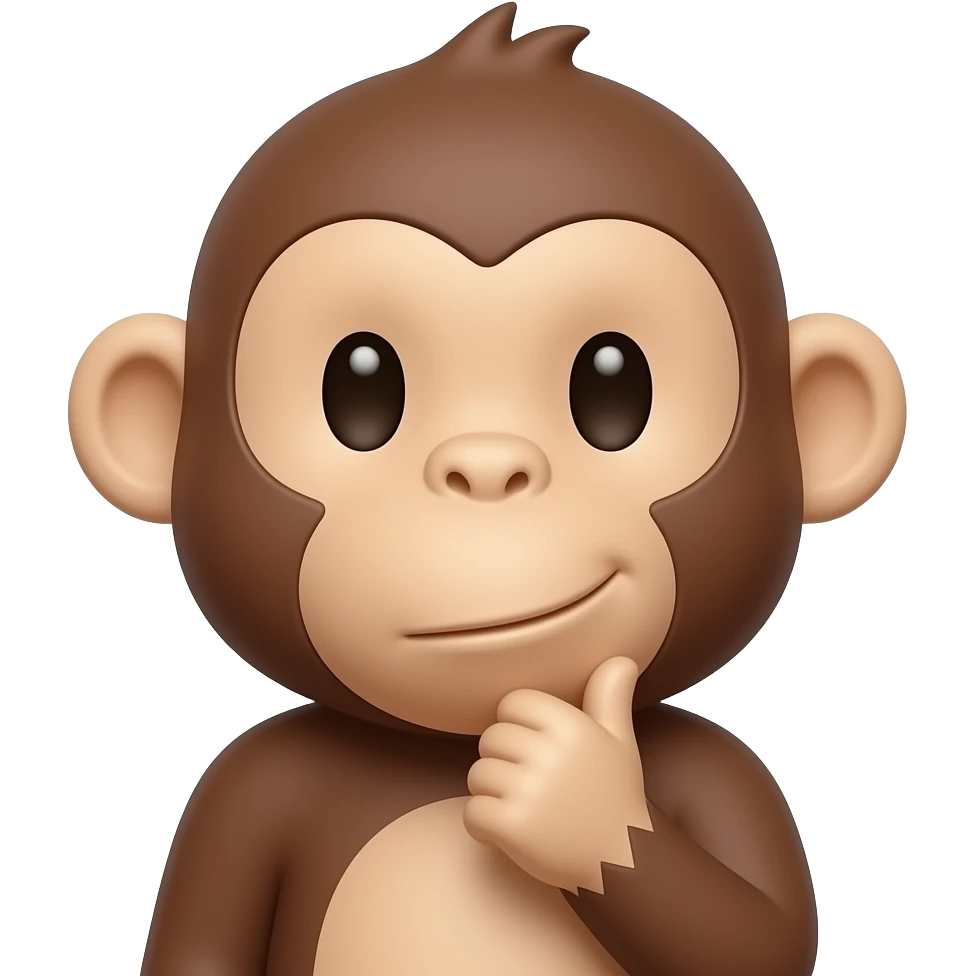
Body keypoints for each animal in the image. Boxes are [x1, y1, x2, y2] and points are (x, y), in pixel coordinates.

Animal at [67, 4, 907, 974]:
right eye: (358, 385)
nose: (488, 469)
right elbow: (199, 947)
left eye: (615, 383)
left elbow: (755, 937)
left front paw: (574, 788)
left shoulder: (723, 769)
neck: (447, 753)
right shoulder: (242, 789)